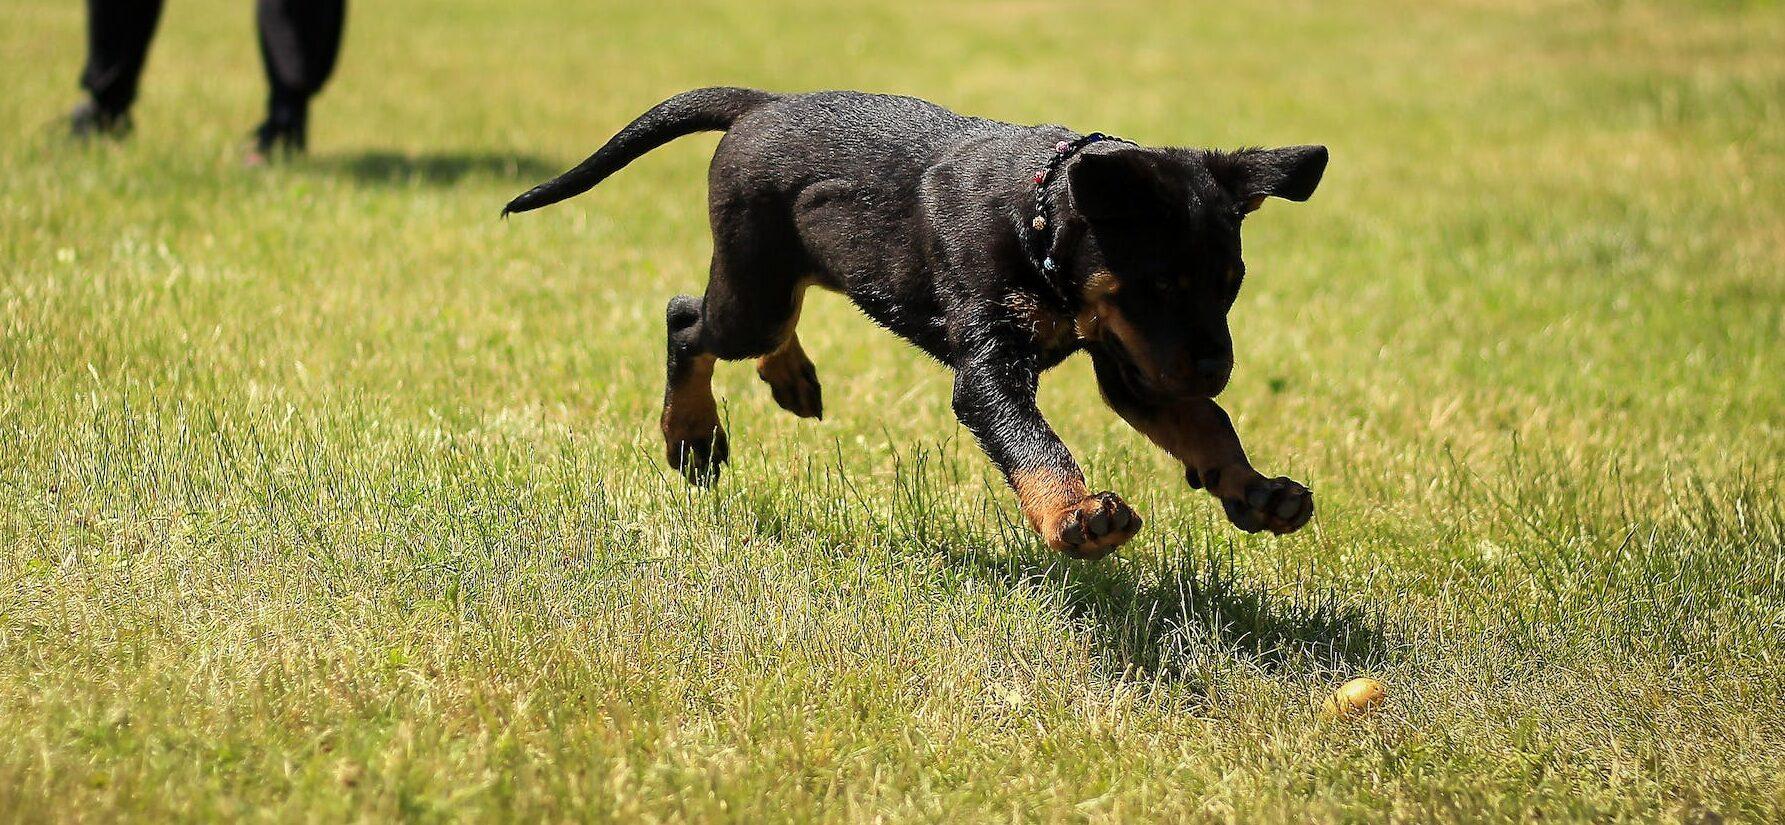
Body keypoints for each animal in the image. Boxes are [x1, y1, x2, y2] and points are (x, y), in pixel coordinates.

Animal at [503, 87, 1328, 557]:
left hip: (794, 270)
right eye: (1157, 284)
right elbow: (1035, 443)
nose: (1217, 367)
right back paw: (693, 435)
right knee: (687, 321)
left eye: (1230, 285)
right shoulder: (994, 366)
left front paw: (1254, 490)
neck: (1036, 218)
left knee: (766, 321)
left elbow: (1206, 423)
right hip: (753, 289)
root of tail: (760, 104)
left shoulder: (1134, 362)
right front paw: (1074, 516)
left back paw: (789, 377)